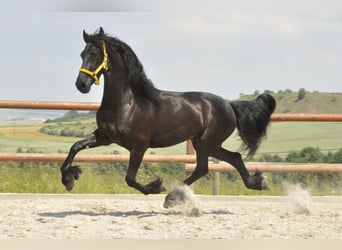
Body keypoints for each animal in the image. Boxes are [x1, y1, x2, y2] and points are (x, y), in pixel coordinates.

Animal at [60, 27, 276, 199]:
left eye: (96, 53)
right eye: (82, 54)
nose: (81, 84)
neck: (126, 104)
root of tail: (229, 105)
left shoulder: (139, 146)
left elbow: (130, 178)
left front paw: (156, 186)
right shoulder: (105, 137)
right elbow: (75, 147)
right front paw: (69, 178)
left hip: (207, 142)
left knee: (204, 167)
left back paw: (172, 195)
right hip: (207, 144)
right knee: (233, 158)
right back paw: (258, 182)